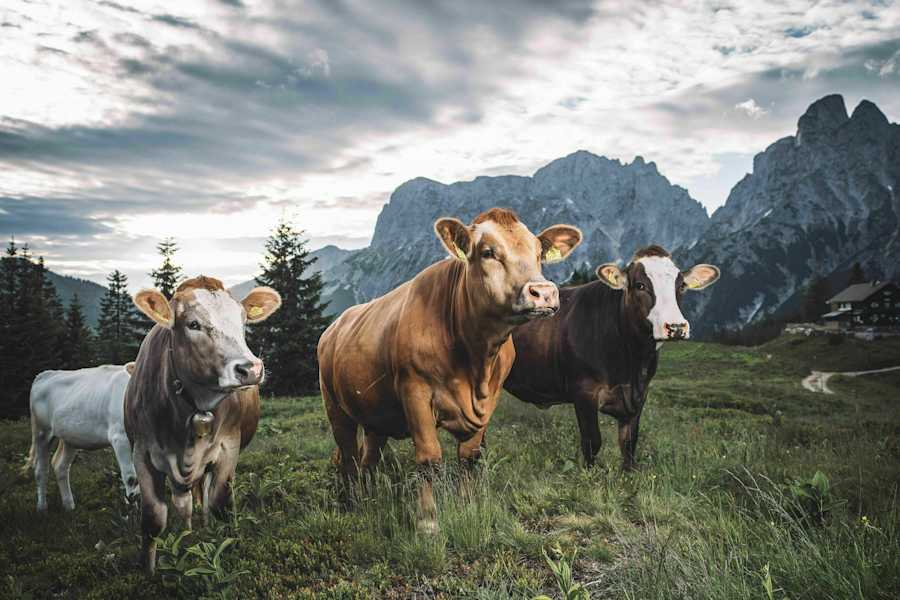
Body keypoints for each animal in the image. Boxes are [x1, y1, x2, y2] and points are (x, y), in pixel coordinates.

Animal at [22, 364, 138, 512]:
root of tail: (44, 374)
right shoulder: (120, 437)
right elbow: (131, 477)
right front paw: (134, 512)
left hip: (70, 438)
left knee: (60, 466)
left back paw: (69, 506)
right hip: (42, 432)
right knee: (41, 470)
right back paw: (42, 508)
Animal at [125, 276, 281, 574]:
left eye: (243, 321)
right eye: (193, 324)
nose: (251, 369)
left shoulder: (228, 448)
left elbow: (219, 503)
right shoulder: (142, 452)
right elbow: (153, 518)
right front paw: (147, 572)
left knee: (204, 499)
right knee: (183, 503)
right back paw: (187, 534)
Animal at [318, 208, 581, 533]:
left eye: (538, 253)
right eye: (488, 252)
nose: (543, 292)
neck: (475, 359)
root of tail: (333, 326)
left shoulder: (489, 399)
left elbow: (469, 458)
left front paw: (468, 505)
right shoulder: (414, 392)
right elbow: (430, 459)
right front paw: (428, 521)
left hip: (374, 413)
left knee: (368, 458)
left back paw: (368, 499)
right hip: (335, 407)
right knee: (349, 458)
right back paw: (352, 504)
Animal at [504, 245, 720, 470]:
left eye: (682, 286)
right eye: (640, 285)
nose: (676, 327)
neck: (631, 366)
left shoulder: (640, 395)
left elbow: (629, 442)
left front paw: (629, 473)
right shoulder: (584, 391)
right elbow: (592, 441)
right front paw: (588, 474)